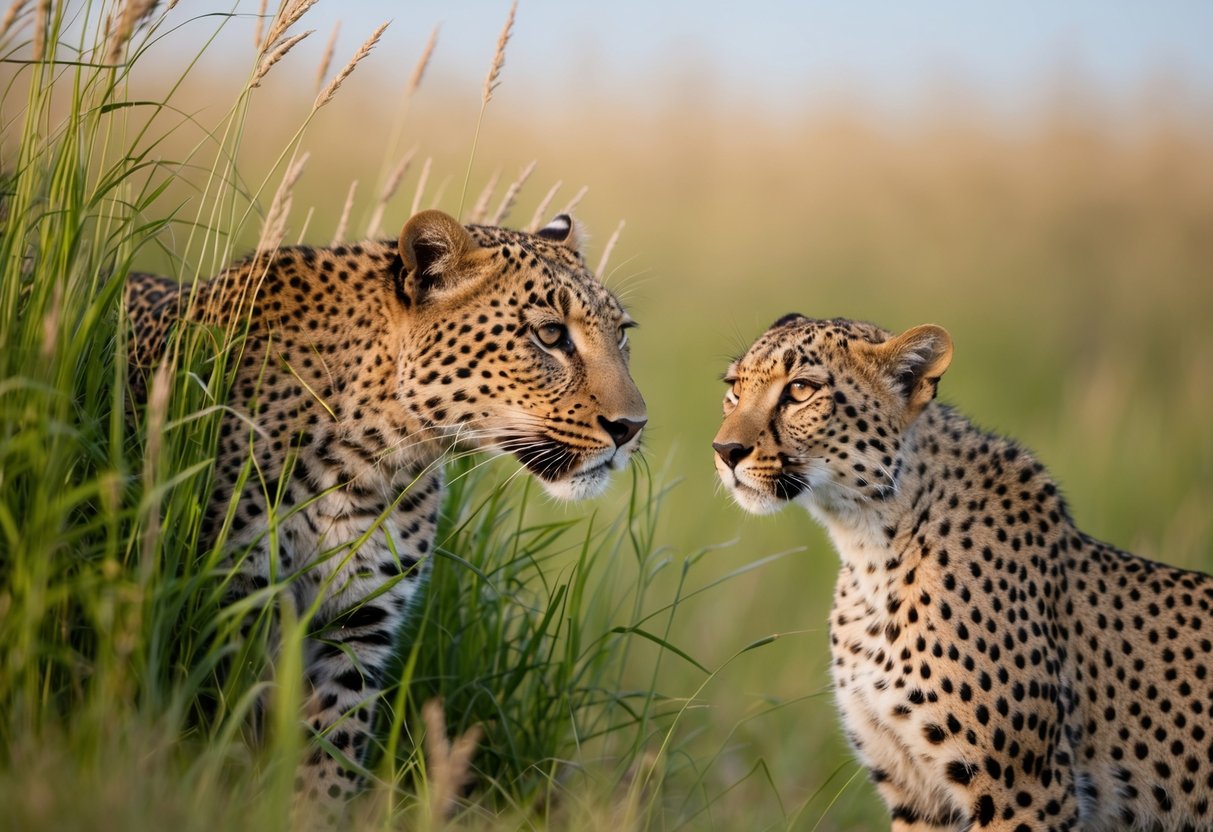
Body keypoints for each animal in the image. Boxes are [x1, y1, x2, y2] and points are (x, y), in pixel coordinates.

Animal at [124, 210, 646, 809]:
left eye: (622, 334)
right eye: (550, 335)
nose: (632, 427)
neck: (372, 456)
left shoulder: (360, 623)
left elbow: (331, 755)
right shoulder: (238, 597)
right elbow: (232, 720)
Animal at [712, 313, 1213, 831]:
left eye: (800, 390)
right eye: (734, 388)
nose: (725, 450)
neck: (868, 544)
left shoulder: (1025, 791)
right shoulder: (917, 794)